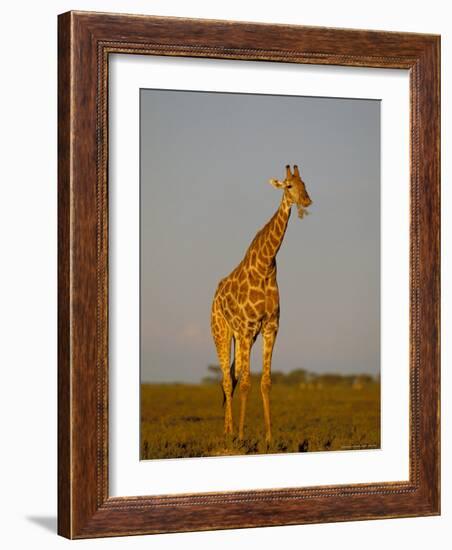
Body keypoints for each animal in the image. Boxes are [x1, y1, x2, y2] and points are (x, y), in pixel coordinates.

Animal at [211, 164, 310, 444]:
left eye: (305, 184)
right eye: (289, 186)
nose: (307, 201)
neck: (266, 267)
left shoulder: (270, 327)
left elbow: (265, 382)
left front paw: (269, 437)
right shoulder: (246, 328)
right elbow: (246, 383)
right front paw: (242, 435)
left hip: (244, 337)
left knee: (231, 377)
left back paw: (228, 429)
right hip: (222, 331)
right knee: (226, 379)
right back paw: (229, 435)